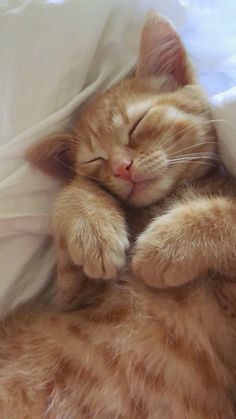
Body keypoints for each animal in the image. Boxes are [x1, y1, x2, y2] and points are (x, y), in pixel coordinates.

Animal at [0, 11, 236, 418]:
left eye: (138, 124)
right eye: (96, 160)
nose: (122, 168)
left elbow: (226, 213)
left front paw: (166, 247)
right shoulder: (74, 296)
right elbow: (75, 189)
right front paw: (94, 226)